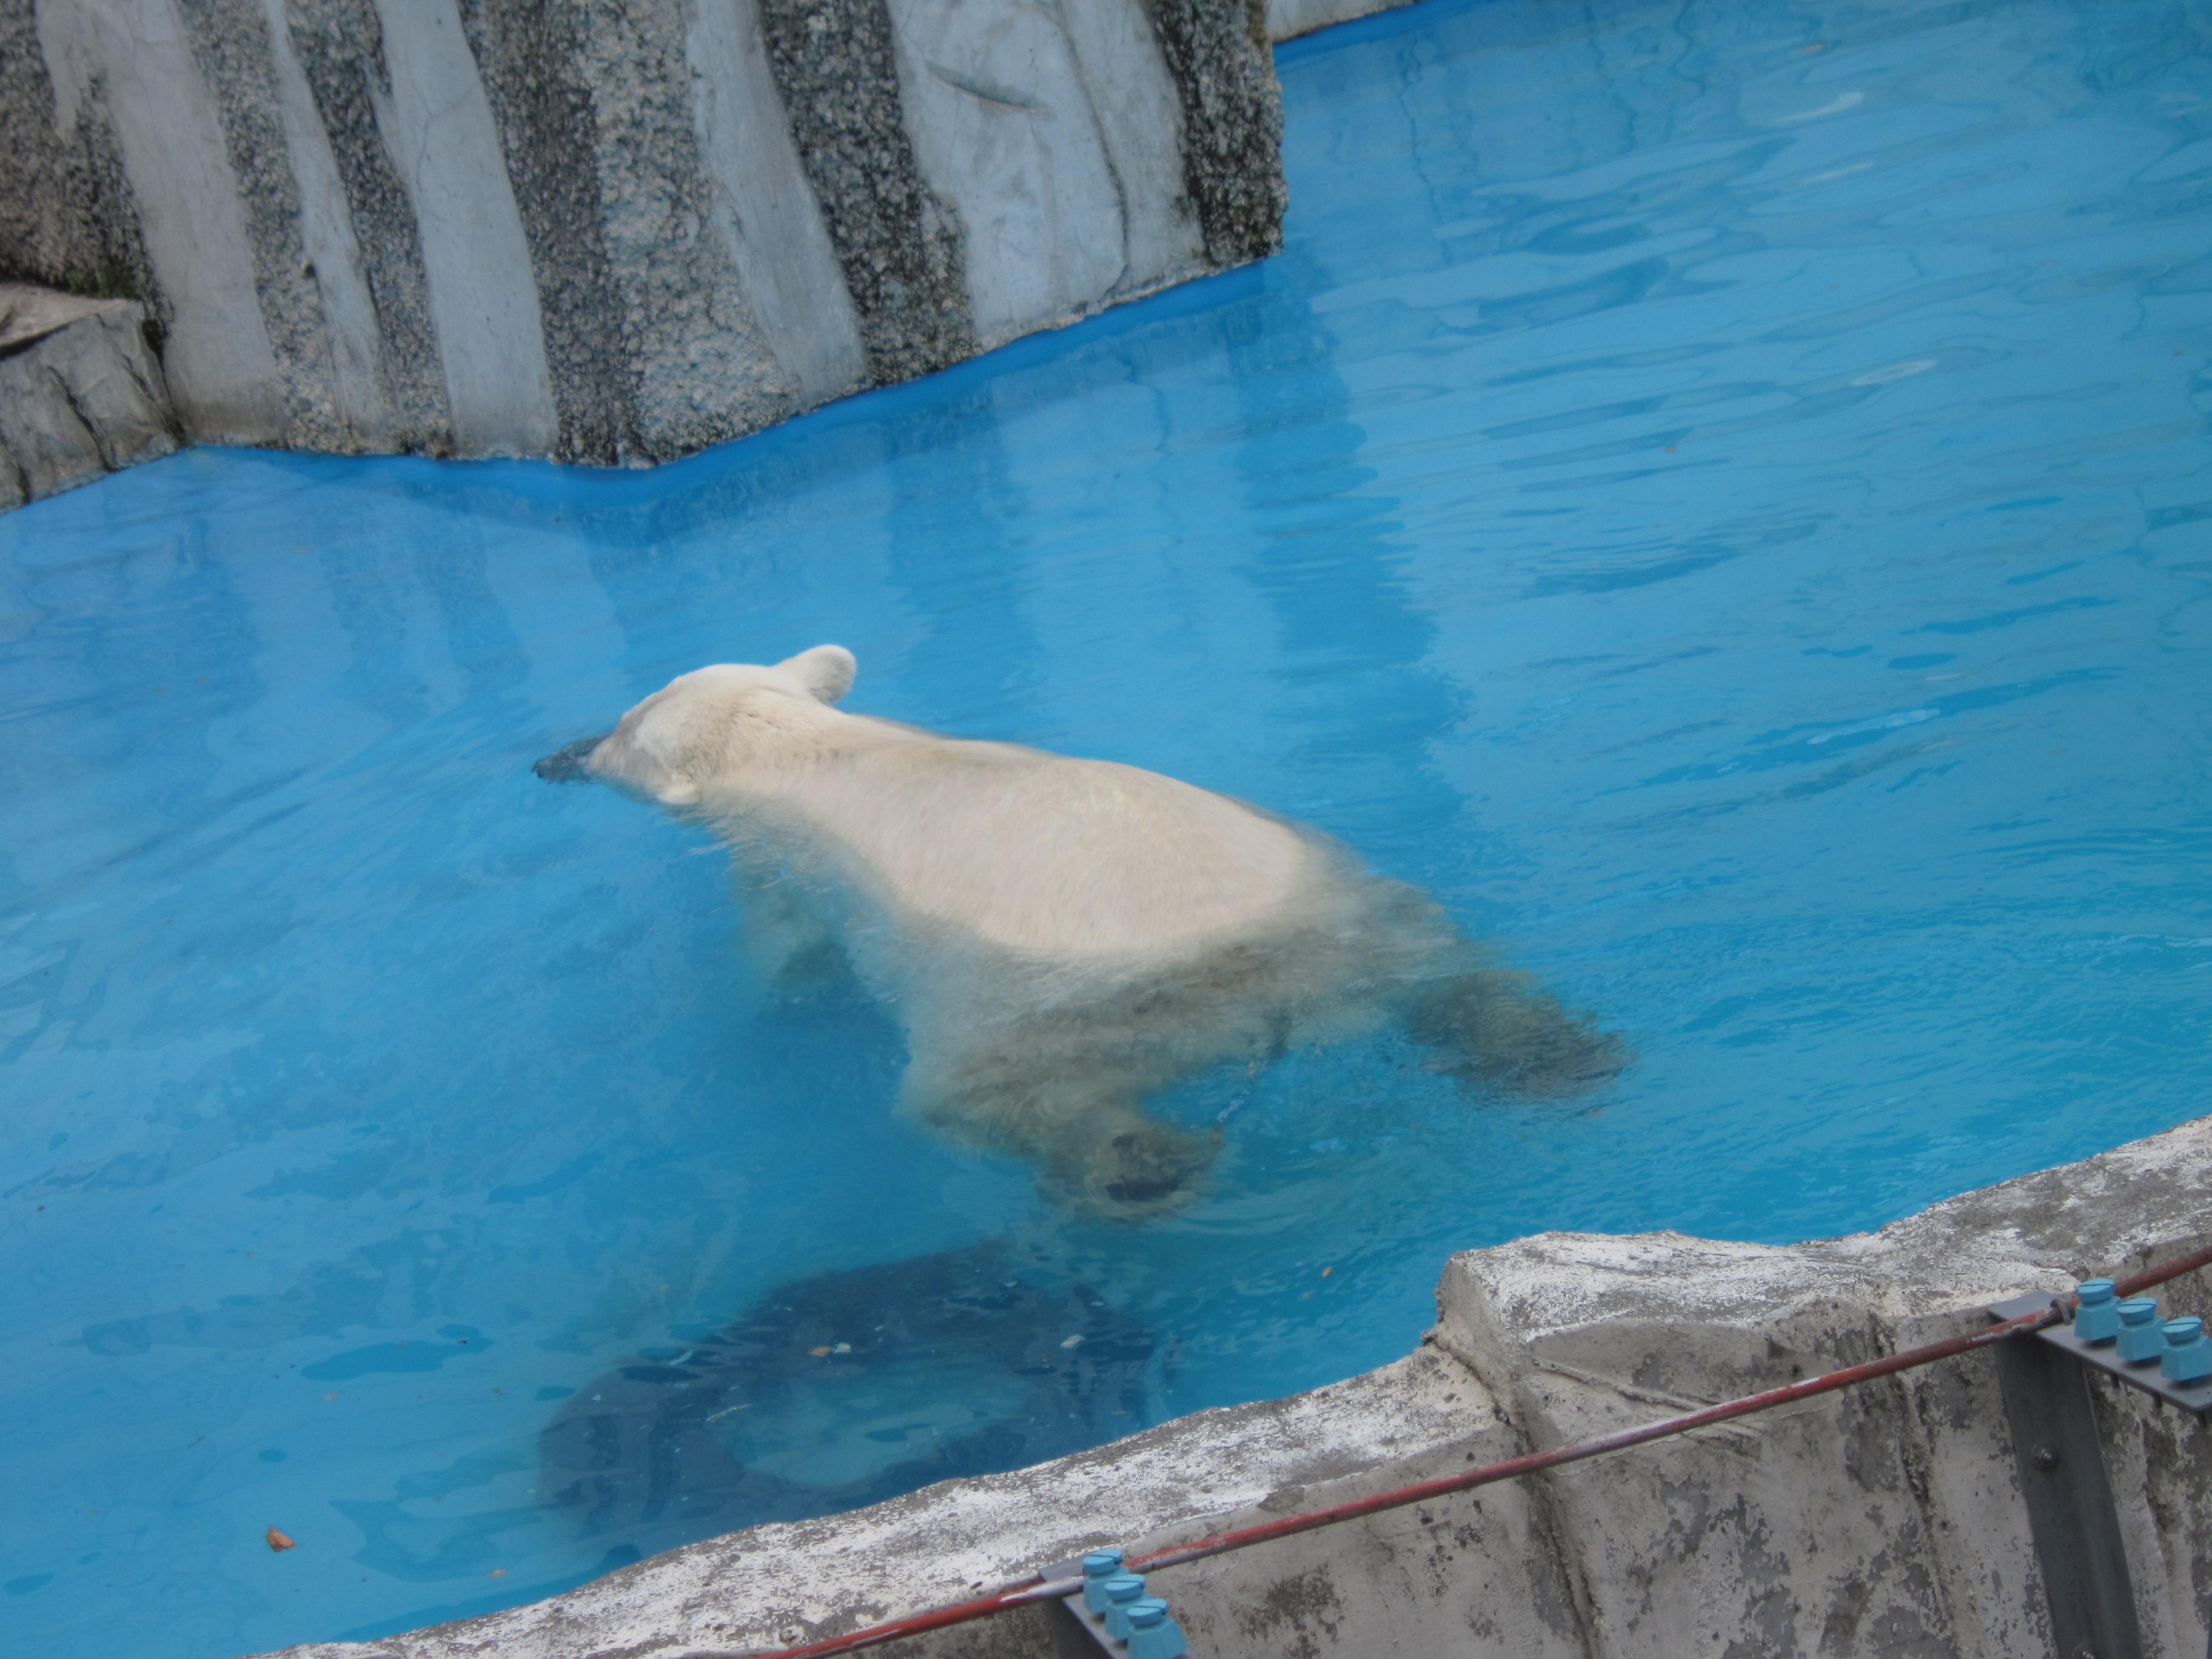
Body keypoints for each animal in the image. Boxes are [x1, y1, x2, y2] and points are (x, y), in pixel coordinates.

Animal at [526, 654, 1619, 1221]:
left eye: (615, 730)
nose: (553, 755)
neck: (797, 745)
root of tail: (1268, 990)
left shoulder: (783, 863)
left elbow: (785, 951)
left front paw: (769, 1006)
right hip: (1353, 902)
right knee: (1455, 977)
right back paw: (1548, 1056)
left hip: (1017, 1013)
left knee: (1001, 1101)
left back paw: (1139, 1166)